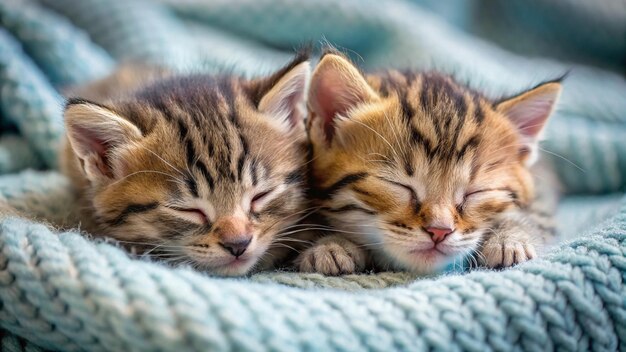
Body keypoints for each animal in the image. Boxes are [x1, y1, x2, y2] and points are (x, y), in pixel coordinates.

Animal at [298, 53, 560, 276]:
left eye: (475, 193)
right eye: (398, 185)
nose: (439, 231)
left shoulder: (542, 189)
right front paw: (332, 245)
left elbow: (537, 214)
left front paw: (511, 239)